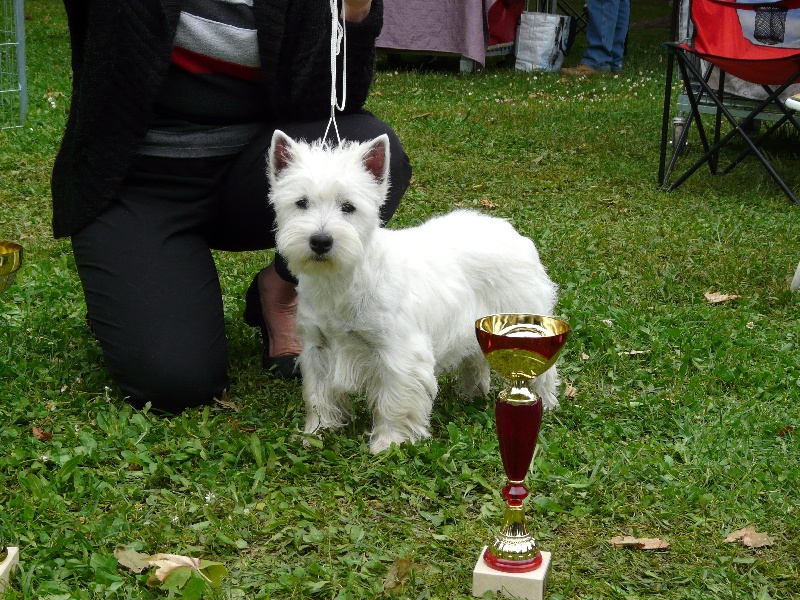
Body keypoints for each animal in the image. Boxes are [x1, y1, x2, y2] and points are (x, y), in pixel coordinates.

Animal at [267, 130, 561, 453]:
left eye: (348, 207)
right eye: (301, 202)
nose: (321, 241)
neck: (342, 280)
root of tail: (510, 230)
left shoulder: (399, 351)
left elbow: (395, 401)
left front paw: (389, 443)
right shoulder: (318, 348)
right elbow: (318, 395)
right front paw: (316, 432)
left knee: (543, 371)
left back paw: (544, 403)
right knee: (474, 360)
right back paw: (471, 394)